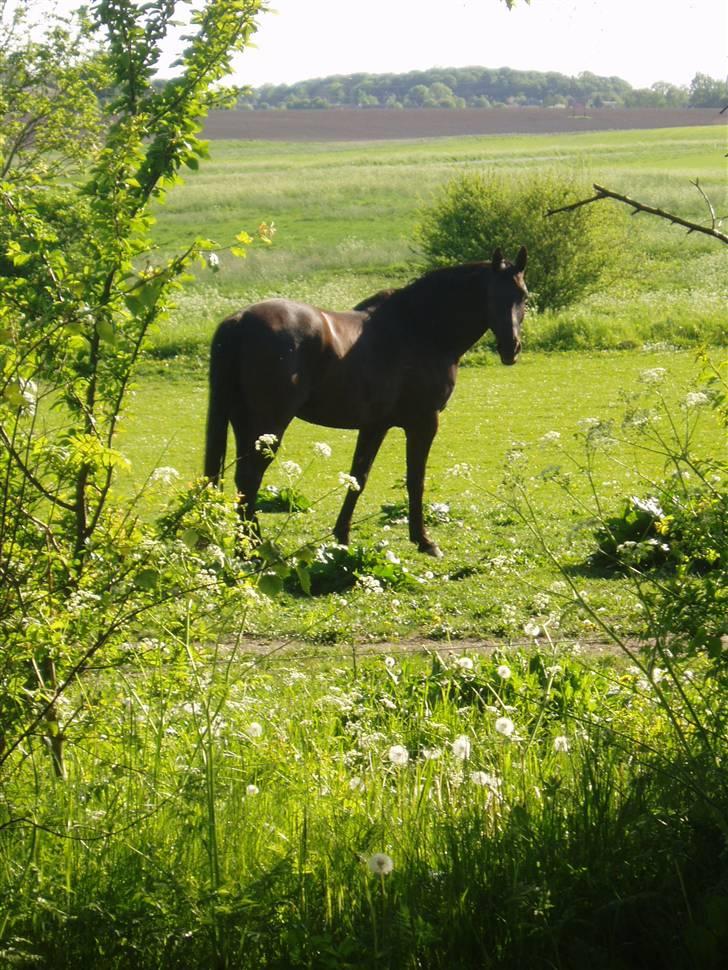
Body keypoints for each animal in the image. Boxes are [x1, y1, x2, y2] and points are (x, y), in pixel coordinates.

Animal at [205, 246, 528, 556]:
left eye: (522, 296)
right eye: (492, 295)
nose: (511, 348)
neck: (419, 328)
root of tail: (239, 321)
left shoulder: (375, 425)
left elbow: (358, 478)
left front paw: (341, 537)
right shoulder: (424, 423)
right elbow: (415, 481)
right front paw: (424, 541)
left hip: (244, 423)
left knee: (242, 481)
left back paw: (246, 546)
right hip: (268, 426)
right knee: (250, 479)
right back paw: (255, 549)